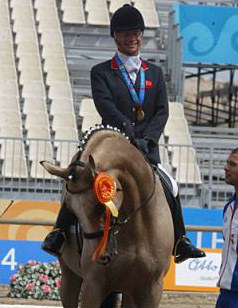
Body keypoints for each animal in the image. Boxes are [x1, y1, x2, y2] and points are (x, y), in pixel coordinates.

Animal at [41, 125, 174, 308]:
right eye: (70, 210)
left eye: (100, 204)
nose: (99, 256)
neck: (138, 228)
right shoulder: (93, 285)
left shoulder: (151, 288)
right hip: (69, 276)